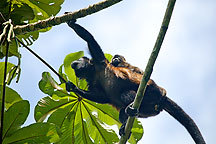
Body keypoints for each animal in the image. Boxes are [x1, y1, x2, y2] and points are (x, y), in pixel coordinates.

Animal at [65, 19, 206, 144]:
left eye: (78, 61)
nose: (73, 63)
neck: (93, 72)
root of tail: (162, 96)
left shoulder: (100, 61)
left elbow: (90, 39)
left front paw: (72, 24)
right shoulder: (93, 82)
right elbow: (100, 97)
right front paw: (72, 87)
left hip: (152, 92)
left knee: (126, 94)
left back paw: (131, 107)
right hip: (151, 110)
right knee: (122, 111)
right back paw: (125, 124)